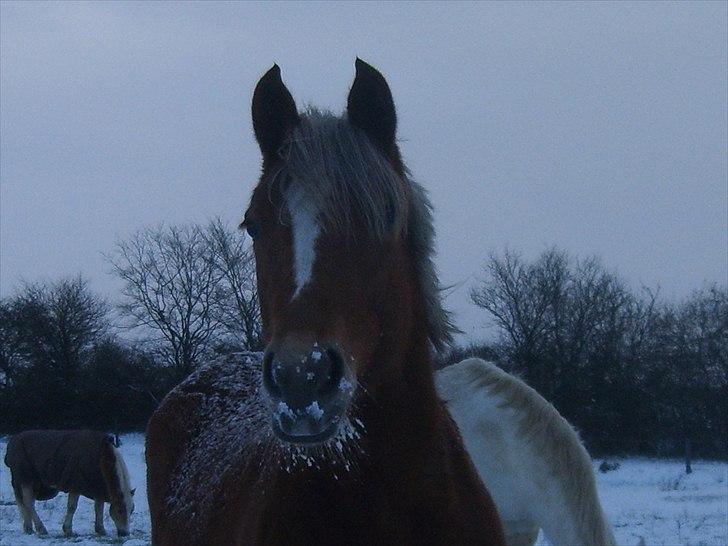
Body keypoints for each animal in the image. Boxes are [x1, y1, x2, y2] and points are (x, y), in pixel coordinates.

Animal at [4, 430, 134, 536]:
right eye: (119, 510)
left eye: (131, 510)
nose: (125, 533)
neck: (101, 457)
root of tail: (13, 441)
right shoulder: (75, 486)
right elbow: (72, 507)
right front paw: (68, 530)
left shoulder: (98, 487)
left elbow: (98, 508)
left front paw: (101, 530)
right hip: (26, 479)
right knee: (28, 503)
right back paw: (41, 529)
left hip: (31, 482)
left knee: (24, 502)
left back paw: (29, 528)